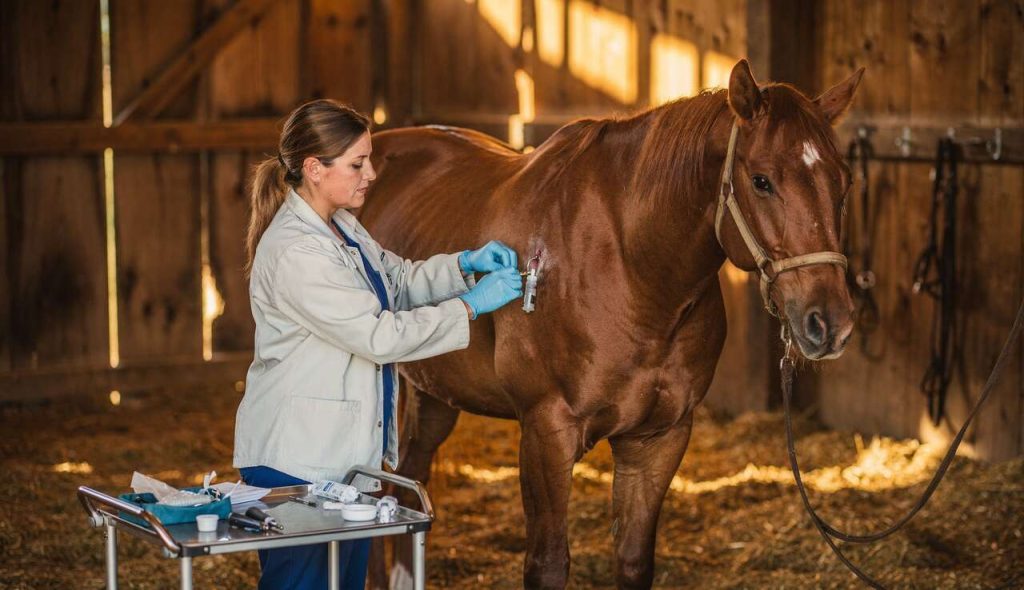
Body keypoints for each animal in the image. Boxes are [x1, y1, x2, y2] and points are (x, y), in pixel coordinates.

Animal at [359, 60, 863, 589]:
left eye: (844, 182)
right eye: (762, 181)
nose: (829, 321)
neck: (631, 268)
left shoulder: (658, 439)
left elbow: (634, 559)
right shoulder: (546, 433)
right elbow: (547, 564)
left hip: (435, 394)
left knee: (404, 485)